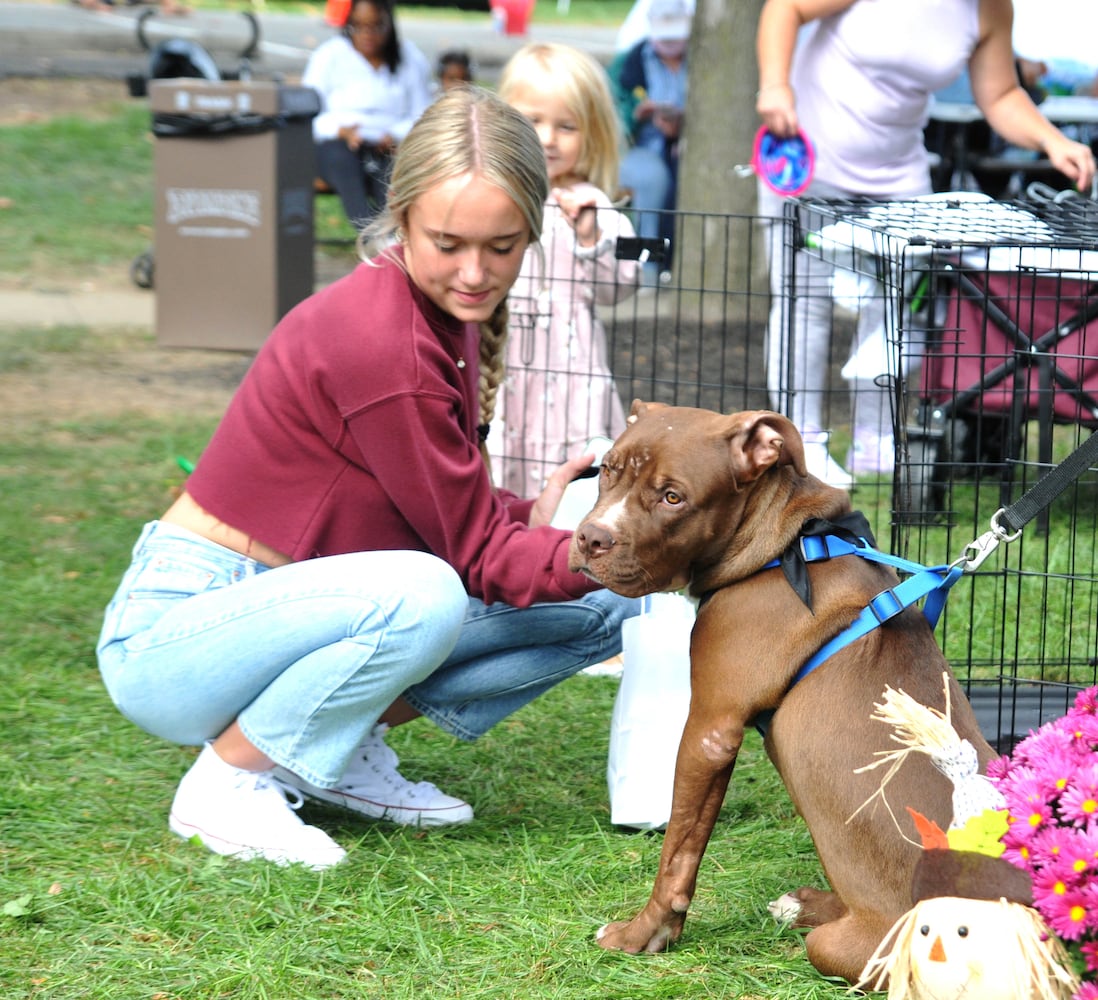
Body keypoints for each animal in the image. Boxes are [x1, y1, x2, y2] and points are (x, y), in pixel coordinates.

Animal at [566, 401, 996, 983]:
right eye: (607, 470)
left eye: (673, 496)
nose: (591, 538)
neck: (788, 548)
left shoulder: (709, 731)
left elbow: (678, 854)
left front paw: (644, 935)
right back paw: (806, 905)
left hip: (856, 949)